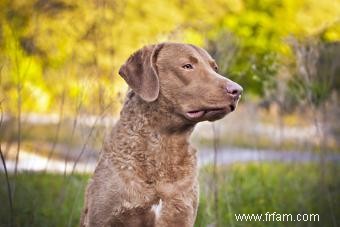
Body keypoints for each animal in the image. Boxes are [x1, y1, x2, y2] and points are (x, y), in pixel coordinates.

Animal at [81, 41, 243, 226]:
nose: (238, 90)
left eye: (215, 68)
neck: (164, 144)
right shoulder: (105, 217)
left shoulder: (181, 214)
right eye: (187, 66)